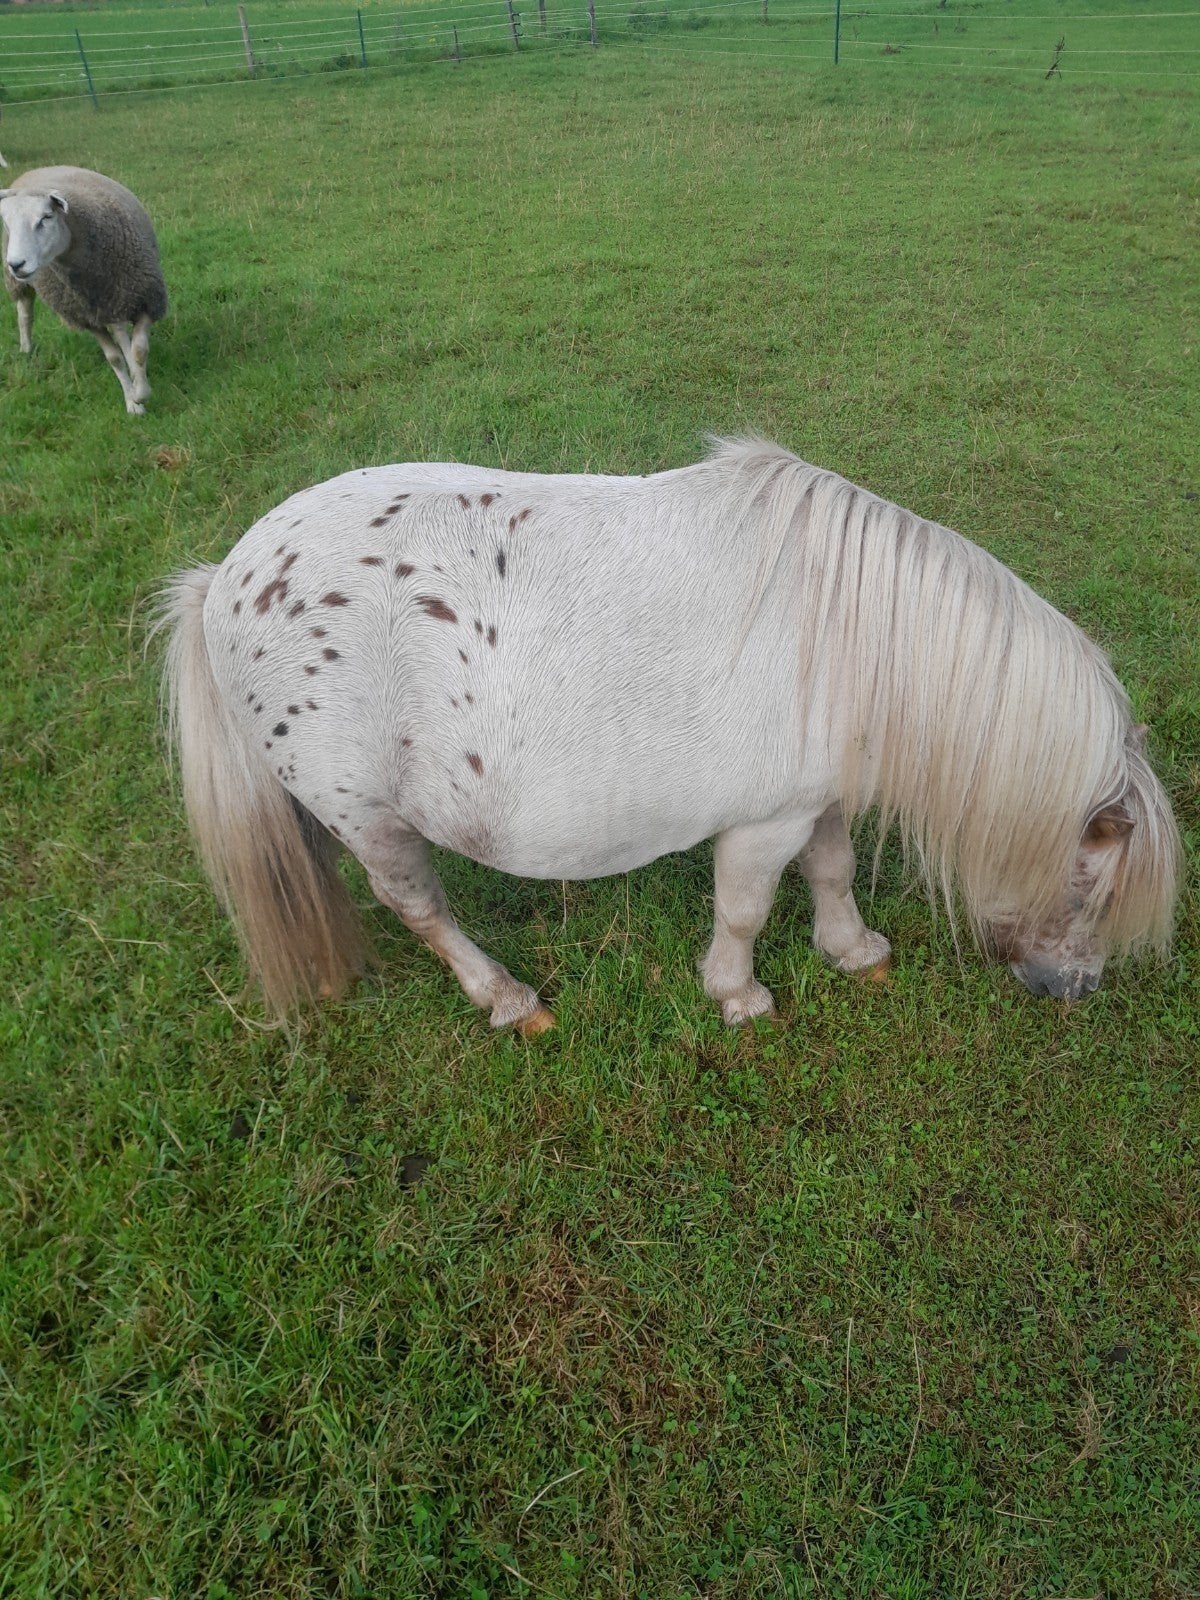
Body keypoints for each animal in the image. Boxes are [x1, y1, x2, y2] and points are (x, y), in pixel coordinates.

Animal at [157, 438, 1180, 1033]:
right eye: (1090, 889)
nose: (1074, 991)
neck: (848, 636)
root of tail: (223, 583)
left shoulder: (818, 797)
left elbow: (834, 869)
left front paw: (853, 951)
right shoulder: (765, 821)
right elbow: (746, 909)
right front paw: (738, 996)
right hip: (370, 819)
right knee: (421, 910)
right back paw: (508, 1001)